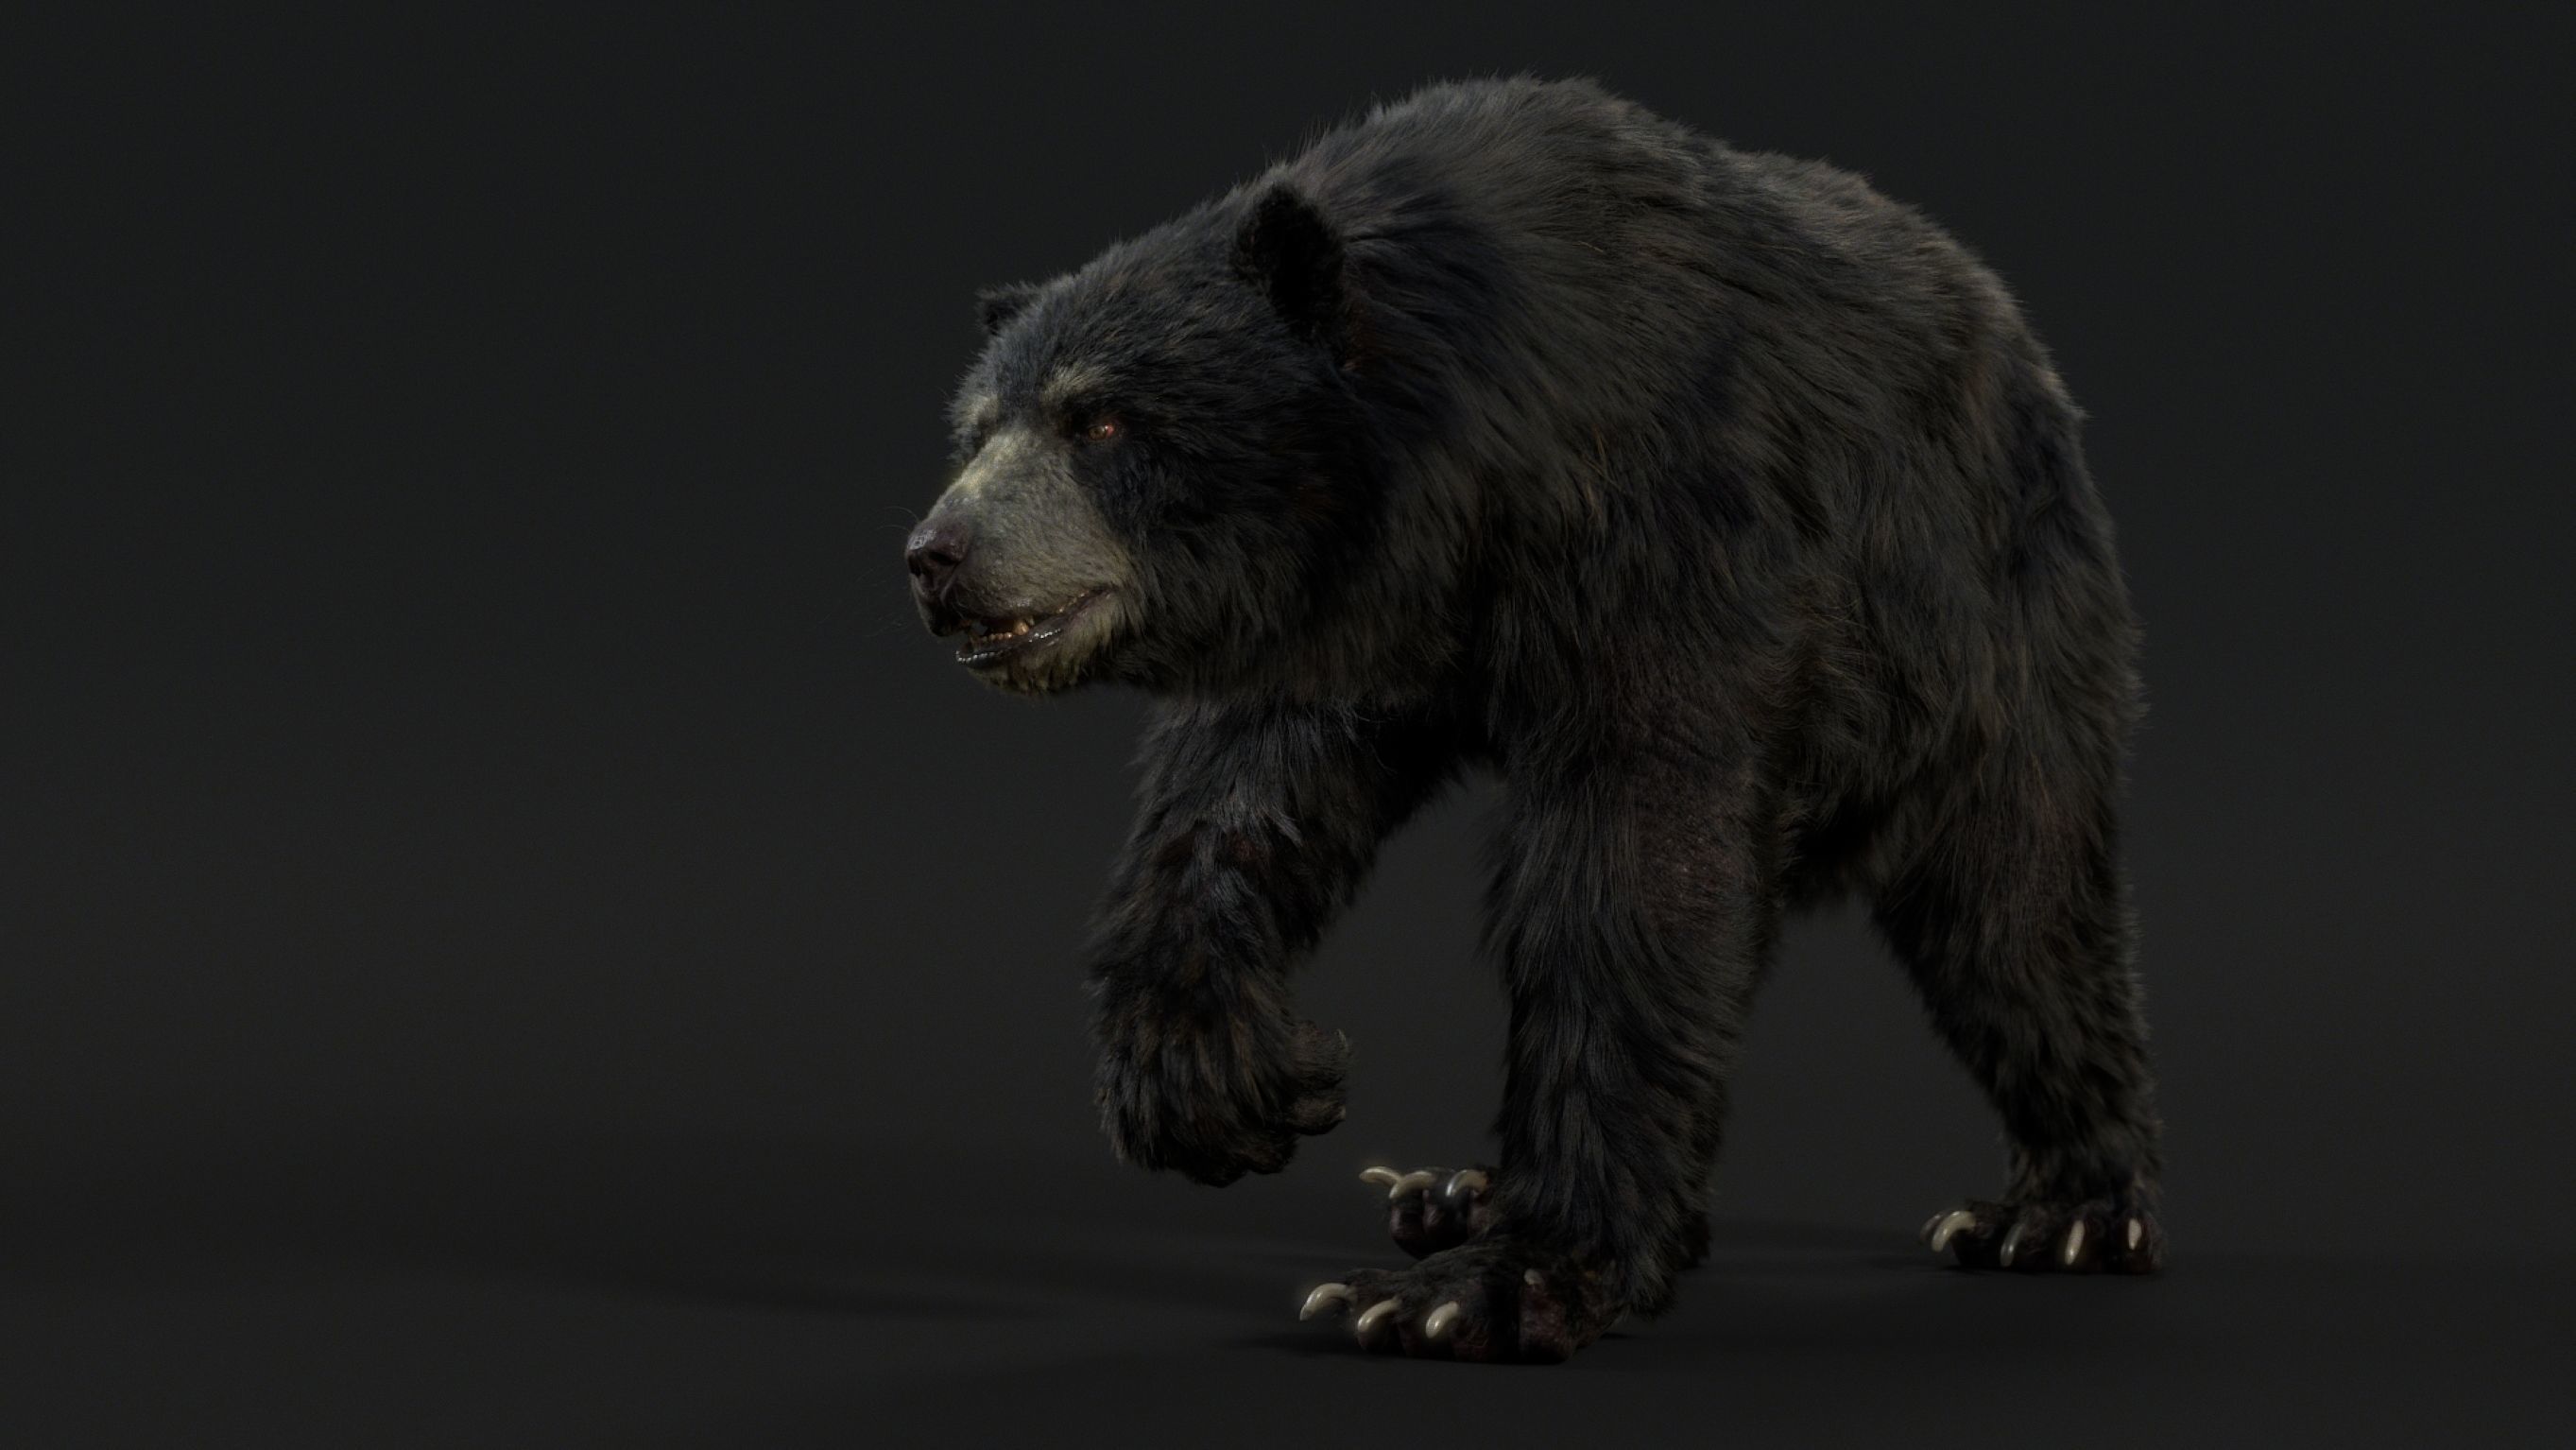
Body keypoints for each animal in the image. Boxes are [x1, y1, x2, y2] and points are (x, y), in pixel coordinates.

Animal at [904, 74, 2164, 1363]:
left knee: (2011, 903)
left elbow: (1635, 855)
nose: (935, 553)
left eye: (1098, 421)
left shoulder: (1667, 520)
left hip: (1988, 626)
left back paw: (2063, 1208)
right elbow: (1241, 793)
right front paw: (1226, 1083)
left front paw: (1486, 1284)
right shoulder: (1357, 610)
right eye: (977, 426)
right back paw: (1448, 1188)